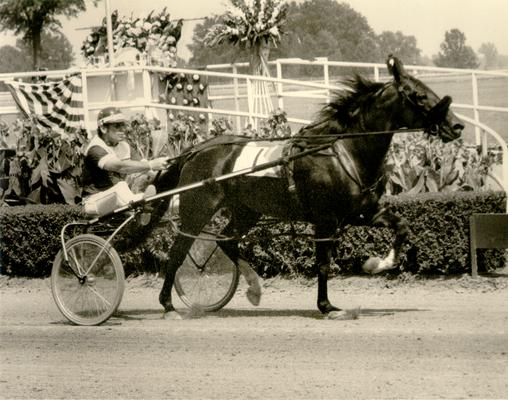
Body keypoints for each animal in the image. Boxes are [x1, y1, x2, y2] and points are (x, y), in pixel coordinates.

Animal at [151, 55, 464, 318]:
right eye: (419, 95)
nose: (457, 126)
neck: (344, 151)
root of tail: (195, 150)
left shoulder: (362, 211)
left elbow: (402, 227)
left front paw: (377, 264)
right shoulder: (325, 219)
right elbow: (323, 263)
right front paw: (326, 306)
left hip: (247, 210)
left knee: (226, 241)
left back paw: (253, 288)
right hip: (198, 208)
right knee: (178, 251)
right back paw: (168, 305)